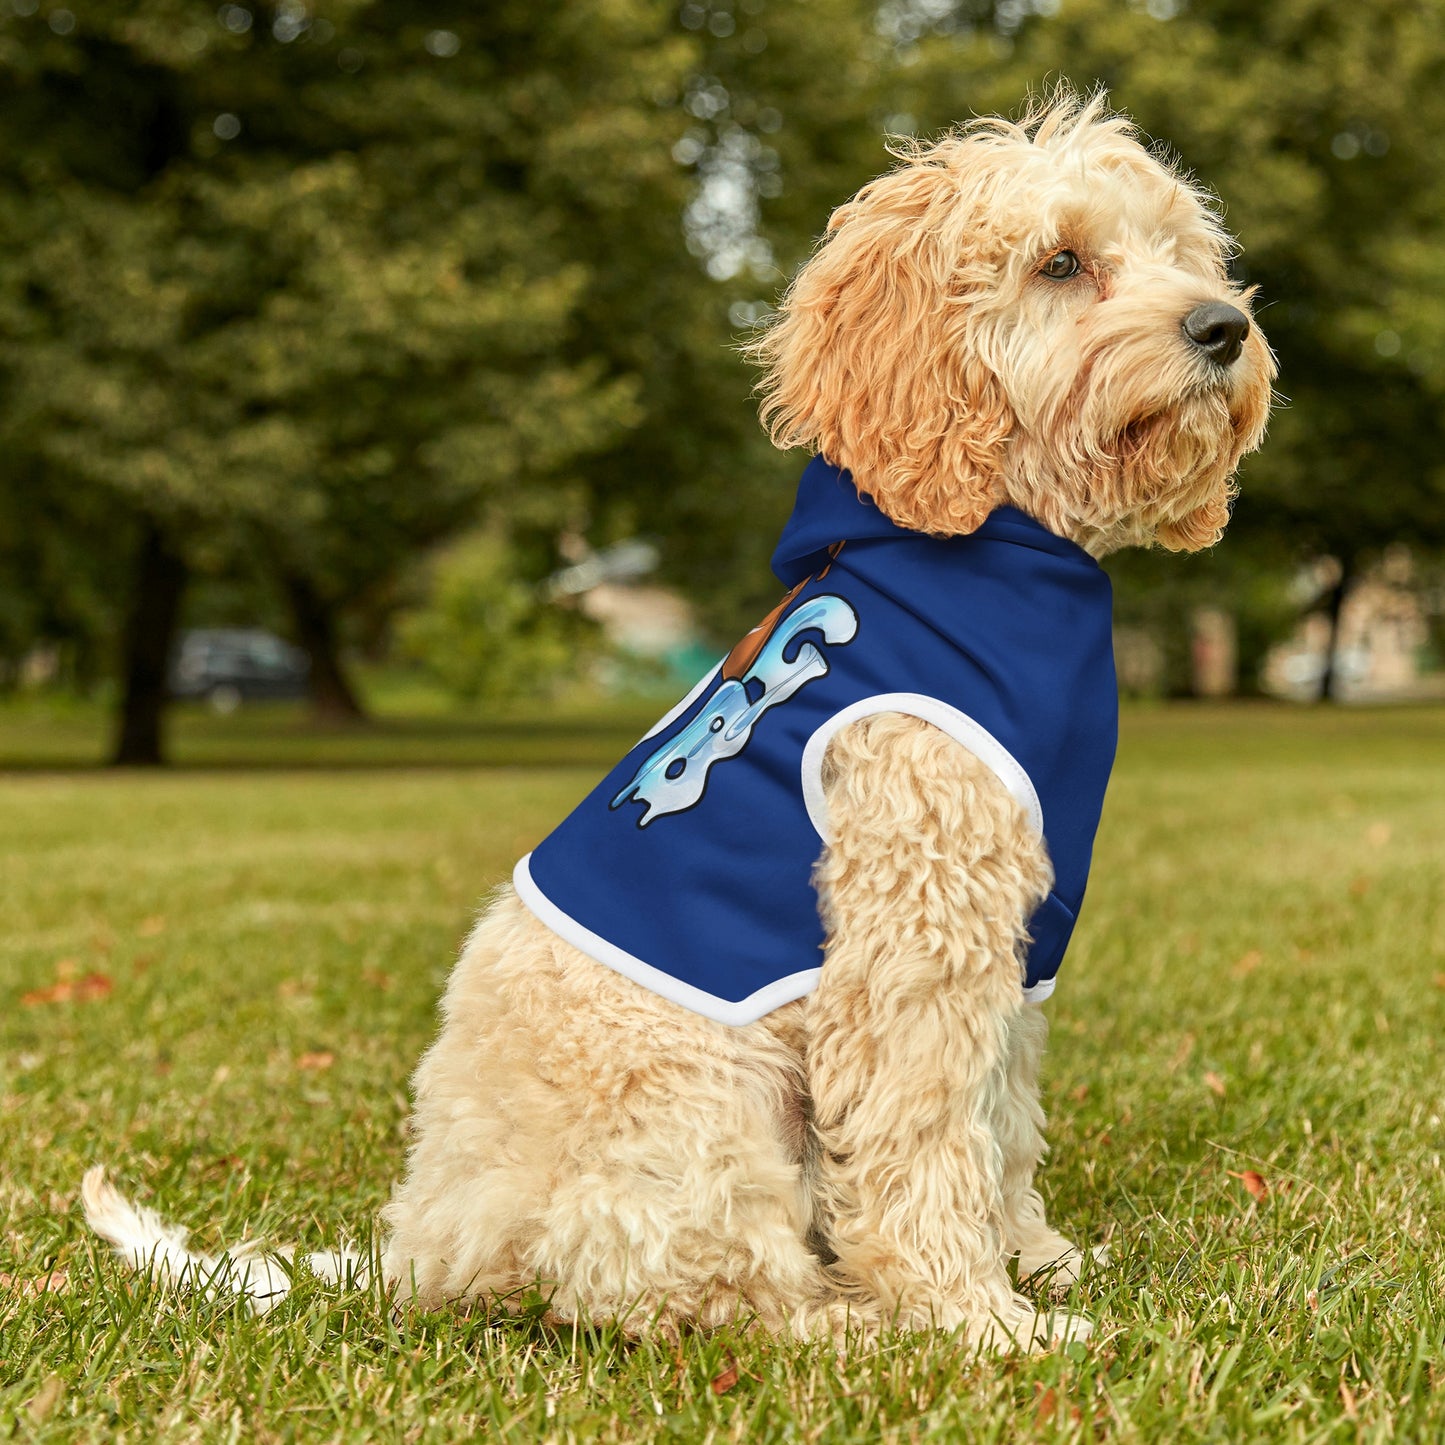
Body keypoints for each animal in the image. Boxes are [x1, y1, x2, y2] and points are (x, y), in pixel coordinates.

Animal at [82, 93, 1277, 1352]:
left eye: (1180, 252)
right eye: (1059, 262)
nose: (1222, 327)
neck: (990, 547)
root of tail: (425, 1248)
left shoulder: (1011, 942)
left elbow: (998, 1121)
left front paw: (1036, 1260)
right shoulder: (912, 935)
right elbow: (924, 1137)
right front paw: (975, 1318)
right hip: (706, 1107)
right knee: (708, 1293)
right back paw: (854, 1321)